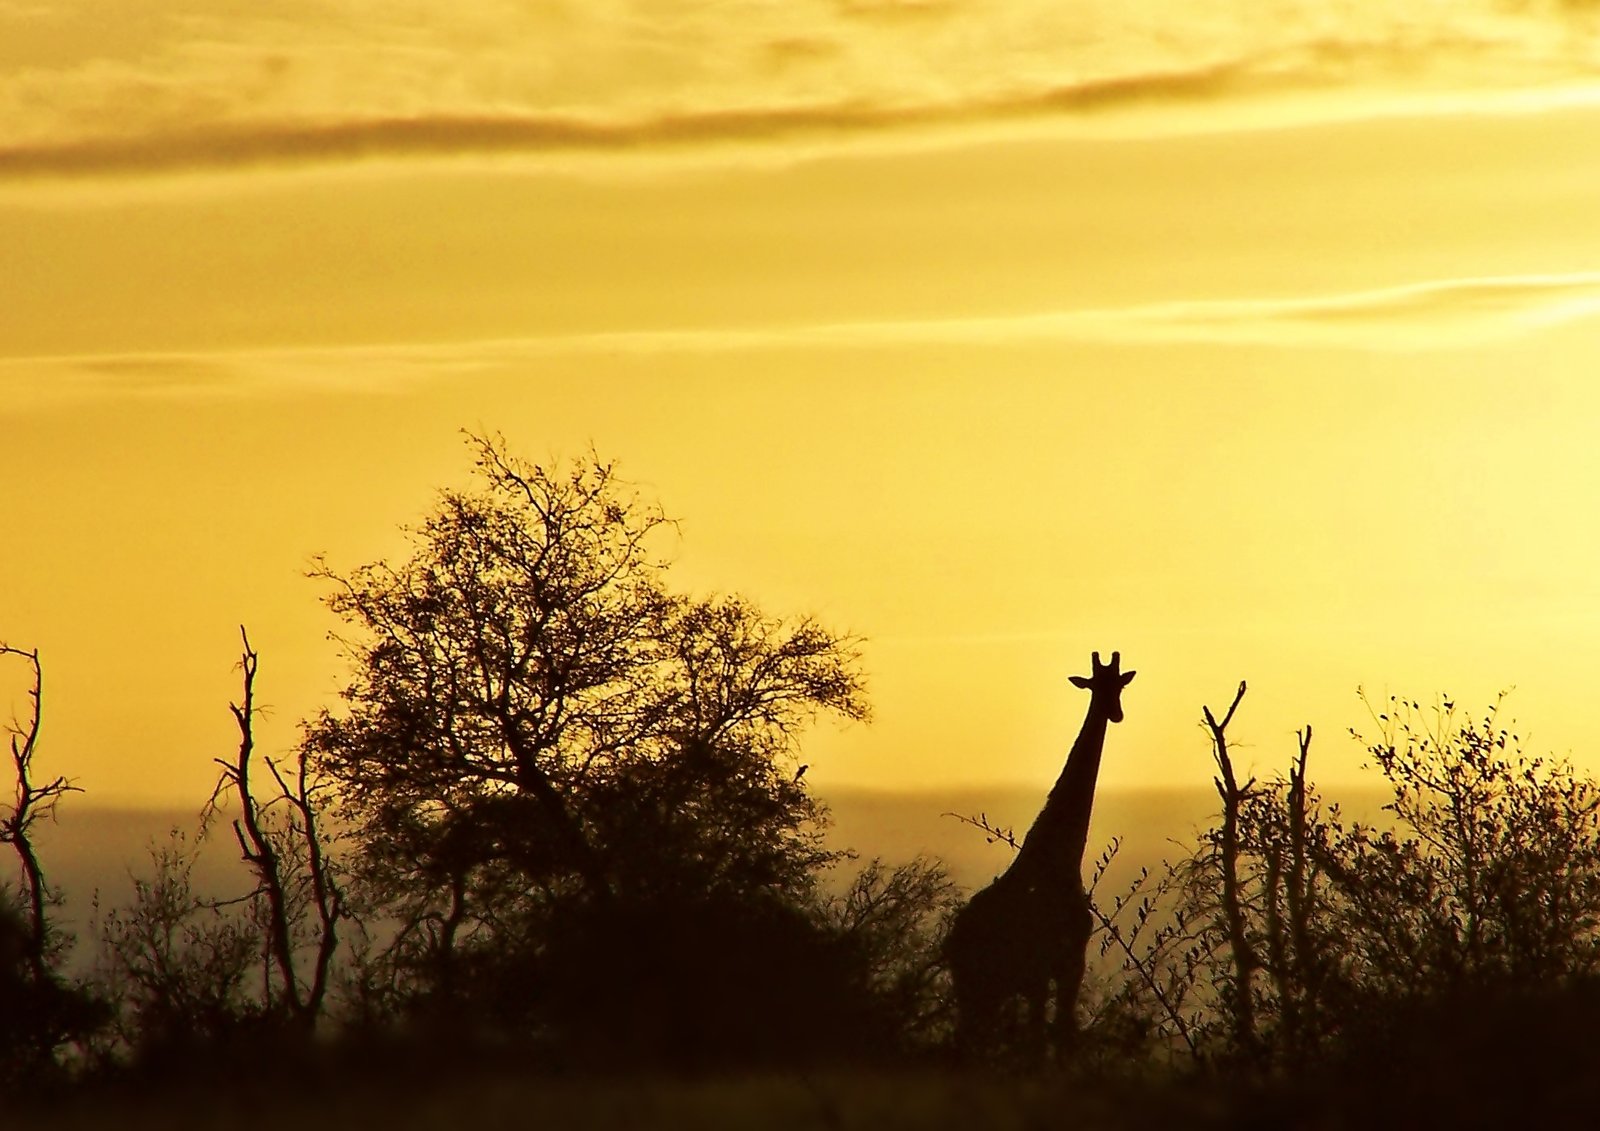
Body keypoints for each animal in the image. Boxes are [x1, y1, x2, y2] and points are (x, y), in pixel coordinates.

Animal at [944, 650, 1136, 1063]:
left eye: (1120, 685)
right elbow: (1055, 1036)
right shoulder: (1063, 964)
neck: (1062, 858)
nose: (1115, 713)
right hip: (982, 985)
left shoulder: (1043, 973)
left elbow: (1044, 1037)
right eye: (1097, 685)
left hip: (983, 989)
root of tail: (951, 940)